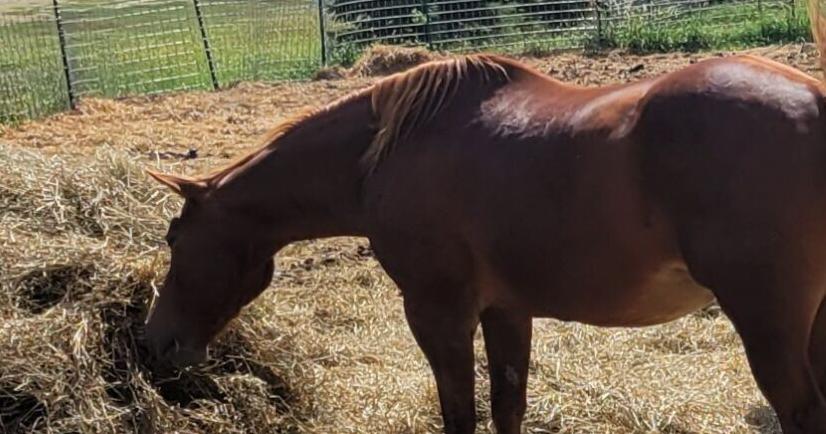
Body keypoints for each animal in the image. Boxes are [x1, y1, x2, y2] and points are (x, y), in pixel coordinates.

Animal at [143, 53, 826, 433]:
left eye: (174, 238)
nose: (157, 343)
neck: (383, 155)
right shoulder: (507, 310)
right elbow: (507, 407)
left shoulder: (436, 311)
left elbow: (460, 415)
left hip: (768, 321)